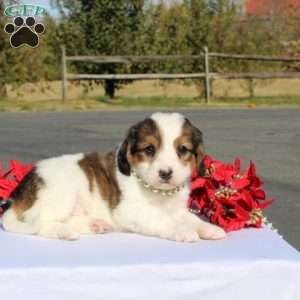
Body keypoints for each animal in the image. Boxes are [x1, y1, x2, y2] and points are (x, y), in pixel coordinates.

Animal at [1, 112, 225, 241]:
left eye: (183, 149)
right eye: (149, 149)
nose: (165, 173)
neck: (158, 193)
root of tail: (17, 197)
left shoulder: (177, 210)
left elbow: (192, 219)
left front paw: (209, 228)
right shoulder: (131, 211)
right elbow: (163, 220)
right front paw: (183, 231)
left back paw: (94, 225)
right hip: (61, 195)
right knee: (42, 224)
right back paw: (65, 232)